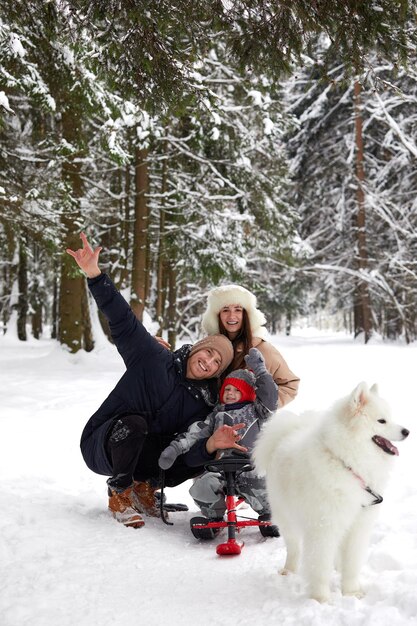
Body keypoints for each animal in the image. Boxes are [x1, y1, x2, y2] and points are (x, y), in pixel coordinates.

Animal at [252, 380, 408, 600]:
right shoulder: (324, 526)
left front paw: (351, 592)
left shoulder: (358, 525)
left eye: (391, 418)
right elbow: (319, 565)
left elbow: (351, 562)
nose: (407, 431)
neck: (347, 463)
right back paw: (288, 570)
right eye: (382, 421)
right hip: (286, 517)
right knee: (293, 547)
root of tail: (289, 432)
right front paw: (320, 598)